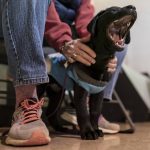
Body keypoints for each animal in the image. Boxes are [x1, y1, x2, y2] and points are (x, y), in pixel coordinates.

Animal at [37, 5, 137, 140]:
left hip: (57, 92)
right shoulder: (81, 91)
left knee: (51, 113)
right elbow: (84, 112)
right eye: (113, 10)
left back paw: (60, 128)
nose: (133, 7)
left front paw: (96, 129)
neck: (101, 59)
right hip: (41, 89)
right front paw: (88, 132)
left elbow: (95, 112)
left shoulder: (99, 92)